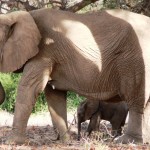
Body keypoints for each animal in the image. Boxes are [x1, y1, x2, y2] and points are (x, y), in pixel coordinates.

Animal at [0, 8, 150, 144]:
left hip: (134, 61)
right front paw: (65, 142)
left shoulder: (44, 52)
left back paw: (127, 141)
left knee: (136, 98)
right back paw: (144, 140)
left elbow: (29, 88)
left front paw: (12, 142)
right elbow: (54, 96)